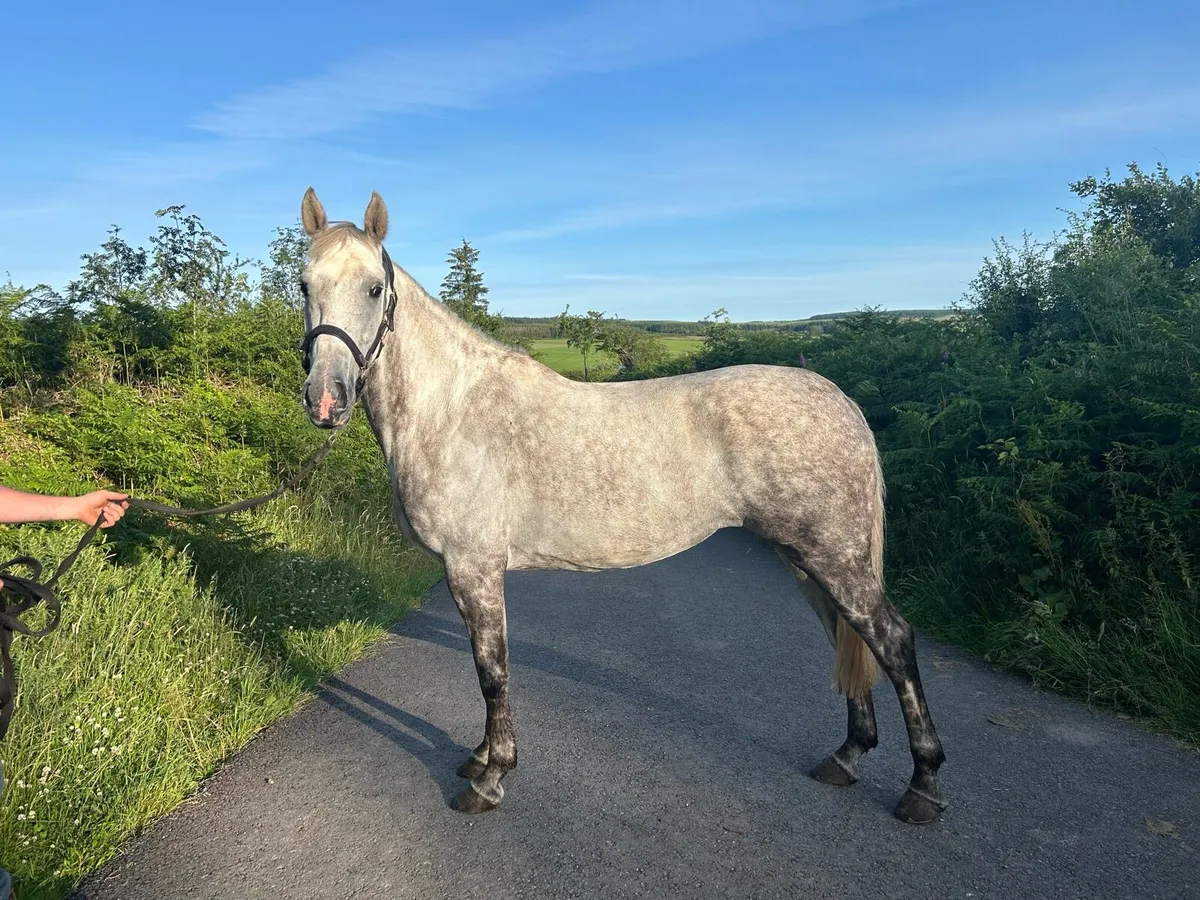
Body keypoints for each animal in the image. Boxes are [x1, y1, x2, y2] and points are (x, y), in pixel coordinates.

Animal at [296, 188, 948, 824]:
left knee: (892, 641)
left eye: (374, 288)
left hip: (834, 558)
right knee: (849, 636)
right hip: (804, 559)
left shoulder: (474, 568)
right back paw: (846, 757)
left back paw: (923, 786)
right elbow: (487, 670)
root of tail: (840, 401)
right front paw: (480, 756)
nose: (327, 399)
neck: (453, 410)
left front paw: (491, 777)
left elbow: (492, 670)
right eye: (304, 285)